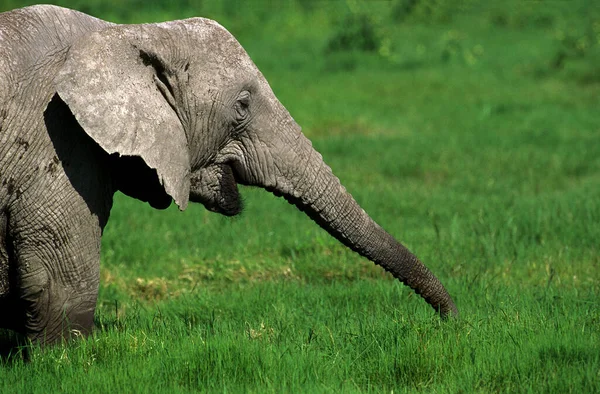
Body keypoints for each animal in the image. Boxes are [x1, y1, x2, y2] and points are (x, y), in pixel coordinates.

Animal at [0, 5, 458, 344]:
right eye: (241, 106)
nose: (452, 321)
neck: (121, 36)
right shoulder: (57, 141)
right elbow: (61, 287)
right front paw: (63, 362)